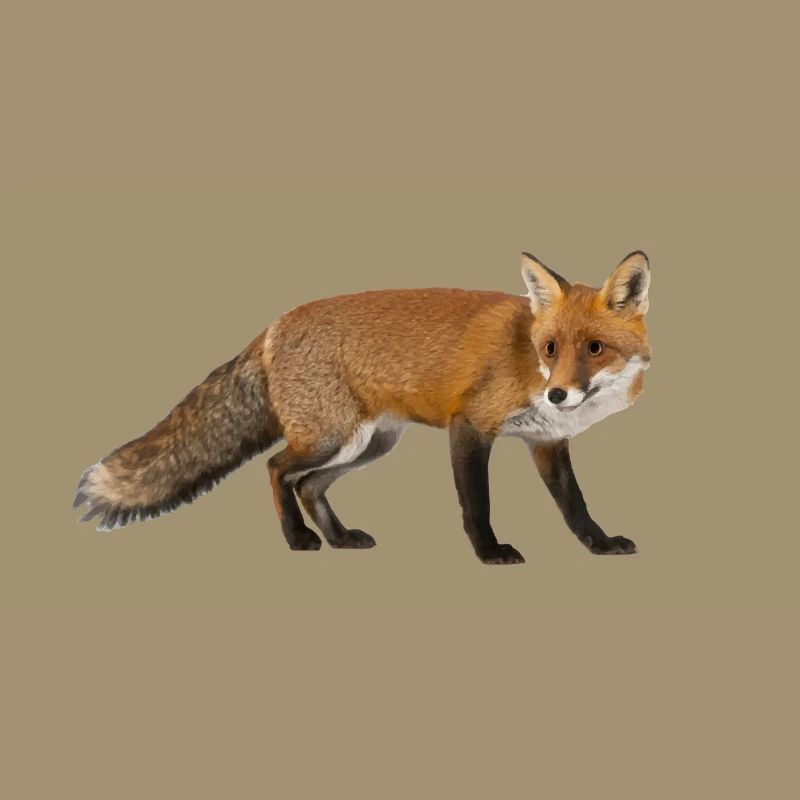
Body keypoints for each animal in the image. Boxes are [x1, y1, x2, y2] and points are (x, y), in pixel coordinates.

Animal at [73, 250, 652, 564]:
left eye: (594, 348)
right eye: (550, 349)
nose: (558, 394)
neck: (526, 361)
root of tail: (274, 324)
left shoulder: (547, 442)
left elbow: (575, 506)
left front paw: (599, 545)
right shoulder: (468, 427)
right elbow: (477, 506)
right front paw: (490, 554)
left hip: (370, 445)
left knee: (308, 485)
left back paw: (339, 538)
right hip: (333, 437)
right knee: (276, 468)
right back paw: (299, 540)